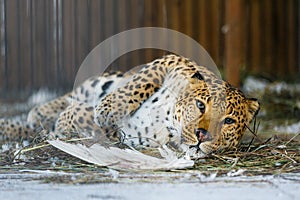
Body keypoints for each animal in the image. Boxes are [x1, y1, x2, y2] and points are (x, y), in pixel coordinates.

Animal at [0, 54, 258, 158]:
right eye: (200, 105)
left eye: (228, 121)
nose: (202, 135)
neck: (169, 122)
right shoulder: (175, 61)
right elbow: (143, 80)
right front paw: (108, 107)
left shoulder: (125, 136)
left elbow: (87, 119)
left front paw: (70, 119)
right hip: (99, 82)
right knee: (71, 96)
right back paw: (38, 113)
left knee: (41, 128)